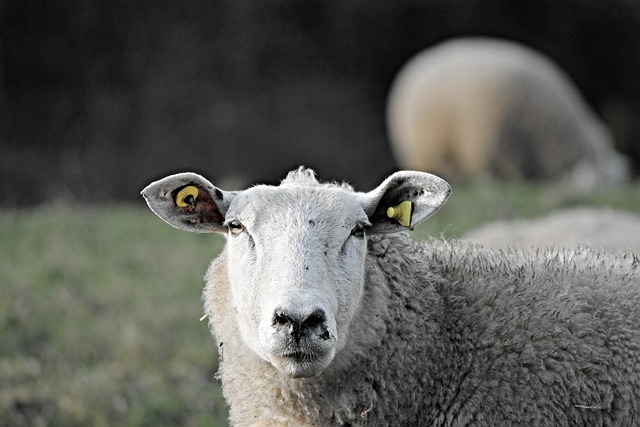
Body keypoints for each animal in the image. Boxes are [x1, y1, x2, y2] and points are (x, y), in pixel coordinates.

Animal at [384, 37, 632, 190]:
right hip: (423, 152)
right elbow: (490, 176)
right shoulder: (485, 144)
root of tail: (419, 59)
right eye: (601, 185)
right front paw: (492, 185)